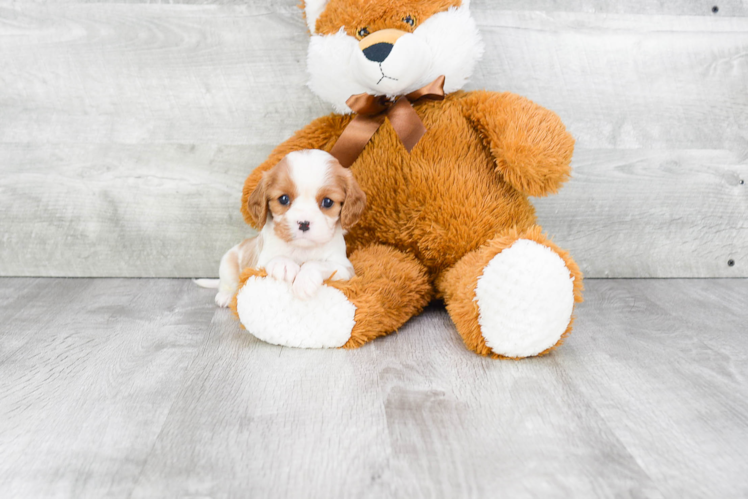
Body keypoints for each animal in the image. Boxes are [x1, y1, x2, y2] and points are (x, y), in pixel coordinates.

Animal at [196, 148, 366, 306]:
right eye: (283, 199)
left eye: (328, 202)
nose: (303, 223)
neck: (301, 249)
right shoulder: (258, 265)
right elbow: (275, 258)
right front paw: (283, 264)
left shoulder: (345, 269)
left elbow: (318, 263)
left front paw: (304, 281)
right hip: (227, 262)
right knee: (226, 283)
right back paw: (225, 296)